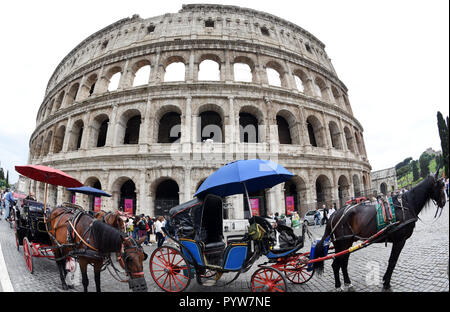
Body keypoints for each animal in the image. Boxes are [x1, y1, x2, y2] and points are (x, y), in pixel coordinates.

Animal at [312, 171, 446, 290]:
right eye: (441, 186)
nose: (444, 202)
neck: (406, 205)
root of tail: (333, 215)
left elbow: (392, 261)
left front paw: (385, 280)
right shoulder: (400, 240)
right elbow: (392, 261)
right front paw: (386, 283)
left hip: (347, 243)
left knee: (343, 263)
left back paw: (348, 283)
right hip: (342, 243)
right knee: (336, 265)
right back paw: (338, 286)